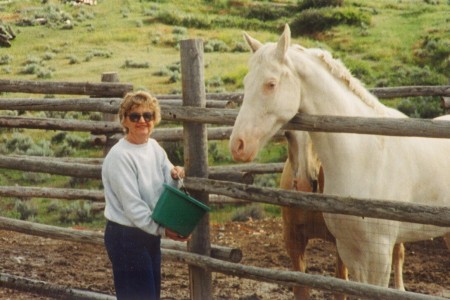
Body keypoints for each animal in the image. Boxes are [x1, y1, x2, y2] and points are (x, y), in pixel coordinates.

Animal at [230, 25, 448, 288]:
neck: (364, 156)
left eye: (270, 84)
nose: (238, 145)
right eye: (246, 82)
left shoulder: (379, 256)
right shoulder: (348, 249)